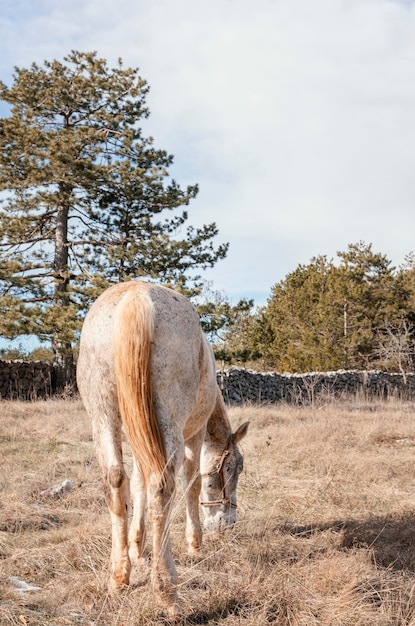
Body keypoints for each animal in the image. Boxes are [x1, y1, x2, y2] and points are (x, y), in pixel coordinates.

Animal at [76, 282, 249, 616]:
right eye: (233, 469)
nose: (229, 523)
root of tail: (136, 297)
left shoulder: (138, 441)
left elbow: (137, 485)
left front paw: (136, 545)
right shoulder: (193, 436)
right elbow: (191, 485)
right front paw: (195, 543)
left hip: (103, 419)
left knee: (116, 481)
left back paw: (119, 577)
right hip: (170, 425)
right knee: (162, 486)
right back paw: (166, 589)